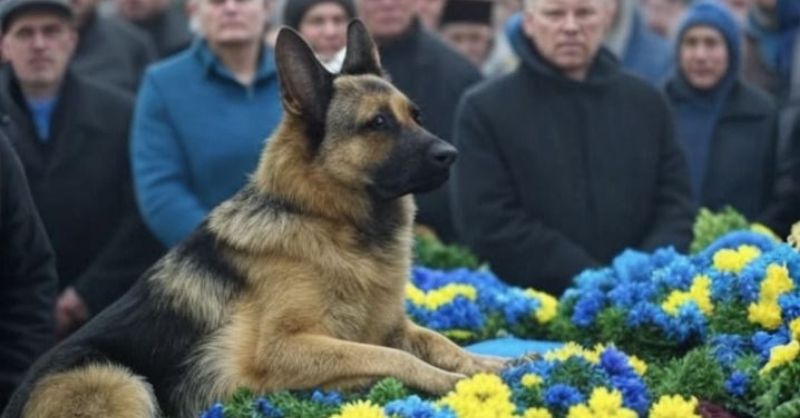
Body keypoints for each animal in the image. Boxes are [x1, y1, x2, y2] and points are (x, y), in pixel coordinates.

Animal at [2, 21, 505, 418]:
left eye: (415, 116)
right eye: (377, 123)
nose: (452, 154)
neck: (323, 219)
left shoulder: (391, 327)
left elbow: (441, 343)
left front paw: (494, 366)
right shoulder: (285, 350)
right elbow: (391, 358)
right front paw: (449, 382)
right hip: (116, 377)